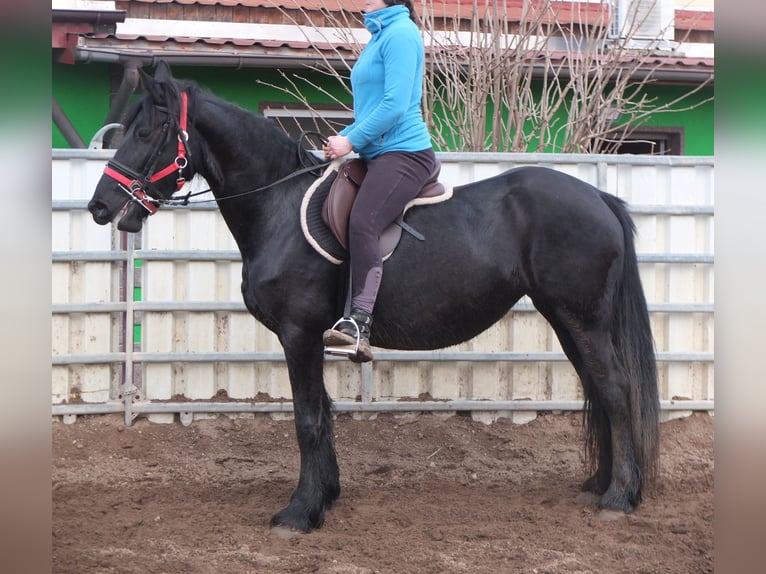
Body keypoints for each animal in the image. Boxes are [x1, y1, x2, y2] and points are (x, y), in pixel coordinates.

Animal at [88, 63, 660, 536]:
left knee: (613, 390)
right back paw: (603, 483)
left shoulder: (299, 333)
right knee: (599, 388)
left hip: (581, 317)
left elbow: (307, 418)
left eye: (145, 132)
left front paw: (299, 513)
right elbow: (322, 411)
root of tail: (598, 197)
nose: (100, 206)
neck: (277, 205)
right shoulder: (309, 338)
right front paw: (326, 496)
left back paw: (617, 497)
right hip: (568, 319)